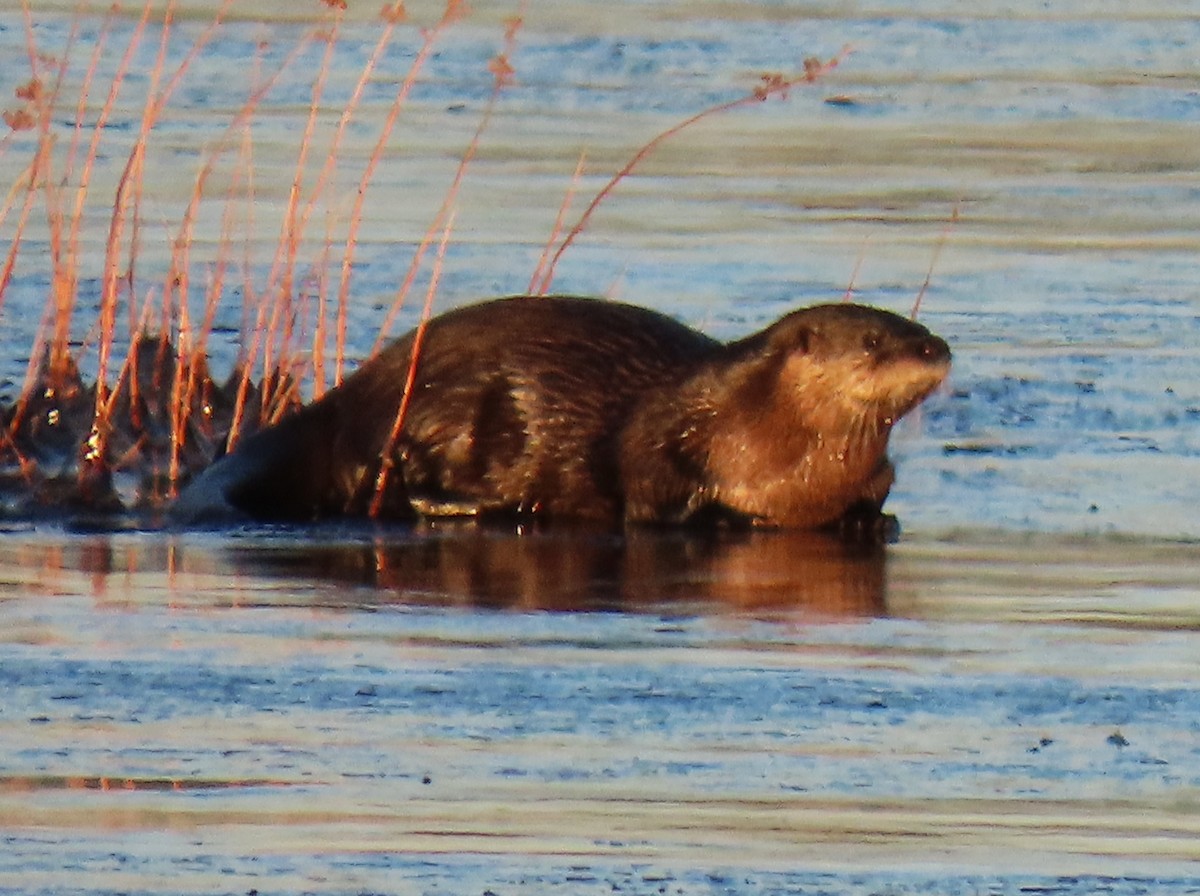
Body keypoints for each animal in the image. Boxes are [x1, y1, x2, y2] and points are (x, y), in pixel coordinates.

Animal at [170, 295, 950, 530]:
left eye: (916, 326)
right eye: (874, 340)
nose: (937, 347)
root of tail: (353, 393)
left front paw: (868, 520)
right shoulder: (665, 430)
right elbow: (648, 484)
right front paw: (708, 512)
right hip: (448, 410)